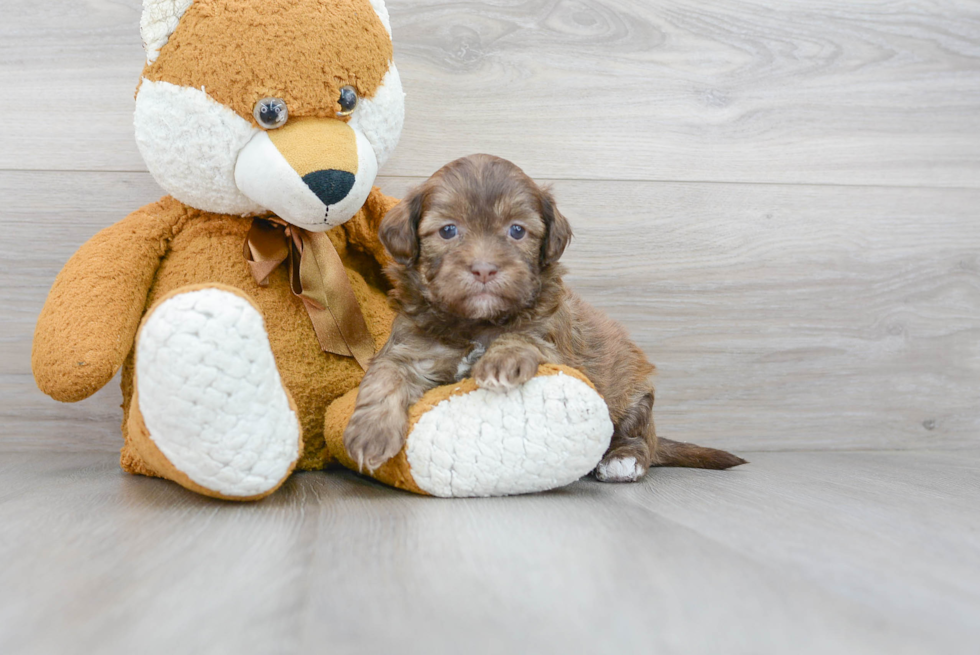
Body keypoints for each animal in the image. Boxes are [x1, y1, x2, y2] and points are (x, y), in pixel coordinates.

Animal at [344, 154, 744, 482]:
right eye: (448, 230)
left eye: (517, 230)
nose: (484, 269)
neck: (477, 322)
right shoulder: (412, 348)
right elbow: (385, 376)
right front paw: (371, 433)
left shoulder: (556, 345)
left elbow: (524, 336)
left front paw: (501, 360)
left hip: (633, 391)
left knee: (635, 433)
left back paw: (623, 460)